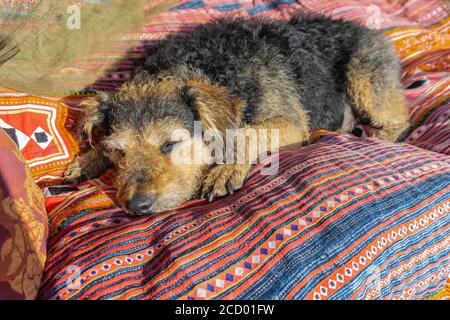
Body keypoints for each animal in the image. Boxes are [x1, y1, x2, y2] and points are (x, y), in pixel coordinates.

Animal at [63, 14, 412, 215]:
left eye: (170, 144)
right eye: (119, 152)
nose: (136, 206)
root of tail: (369, 30)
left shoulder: (290, 123)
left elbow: (246, 132)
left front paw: (225, 169)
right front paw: (87, 160)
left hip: (365, 80)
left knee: (401, 119)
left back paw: (380, 136)